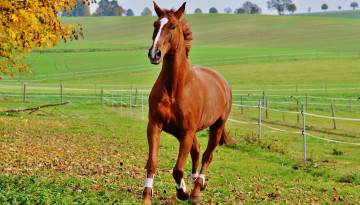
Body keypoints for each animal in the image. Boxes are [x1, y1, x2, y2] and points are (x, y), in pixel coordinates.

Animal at [142, 1, 232, 203]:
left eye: (173, 26)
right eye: (155, 24)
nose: (154, 54)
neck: (174, 88)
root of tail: (222, 81)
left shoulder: (187, 132)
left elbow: (177, 169)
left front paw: (182, 191)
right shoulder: (156, 126)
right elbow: (152, 162)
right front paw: (146, 197)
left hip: (216, 127)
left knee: (207, 155)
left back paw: (197, 189)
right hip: (183, 132)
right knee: (197, 151)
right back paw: (194, 180)